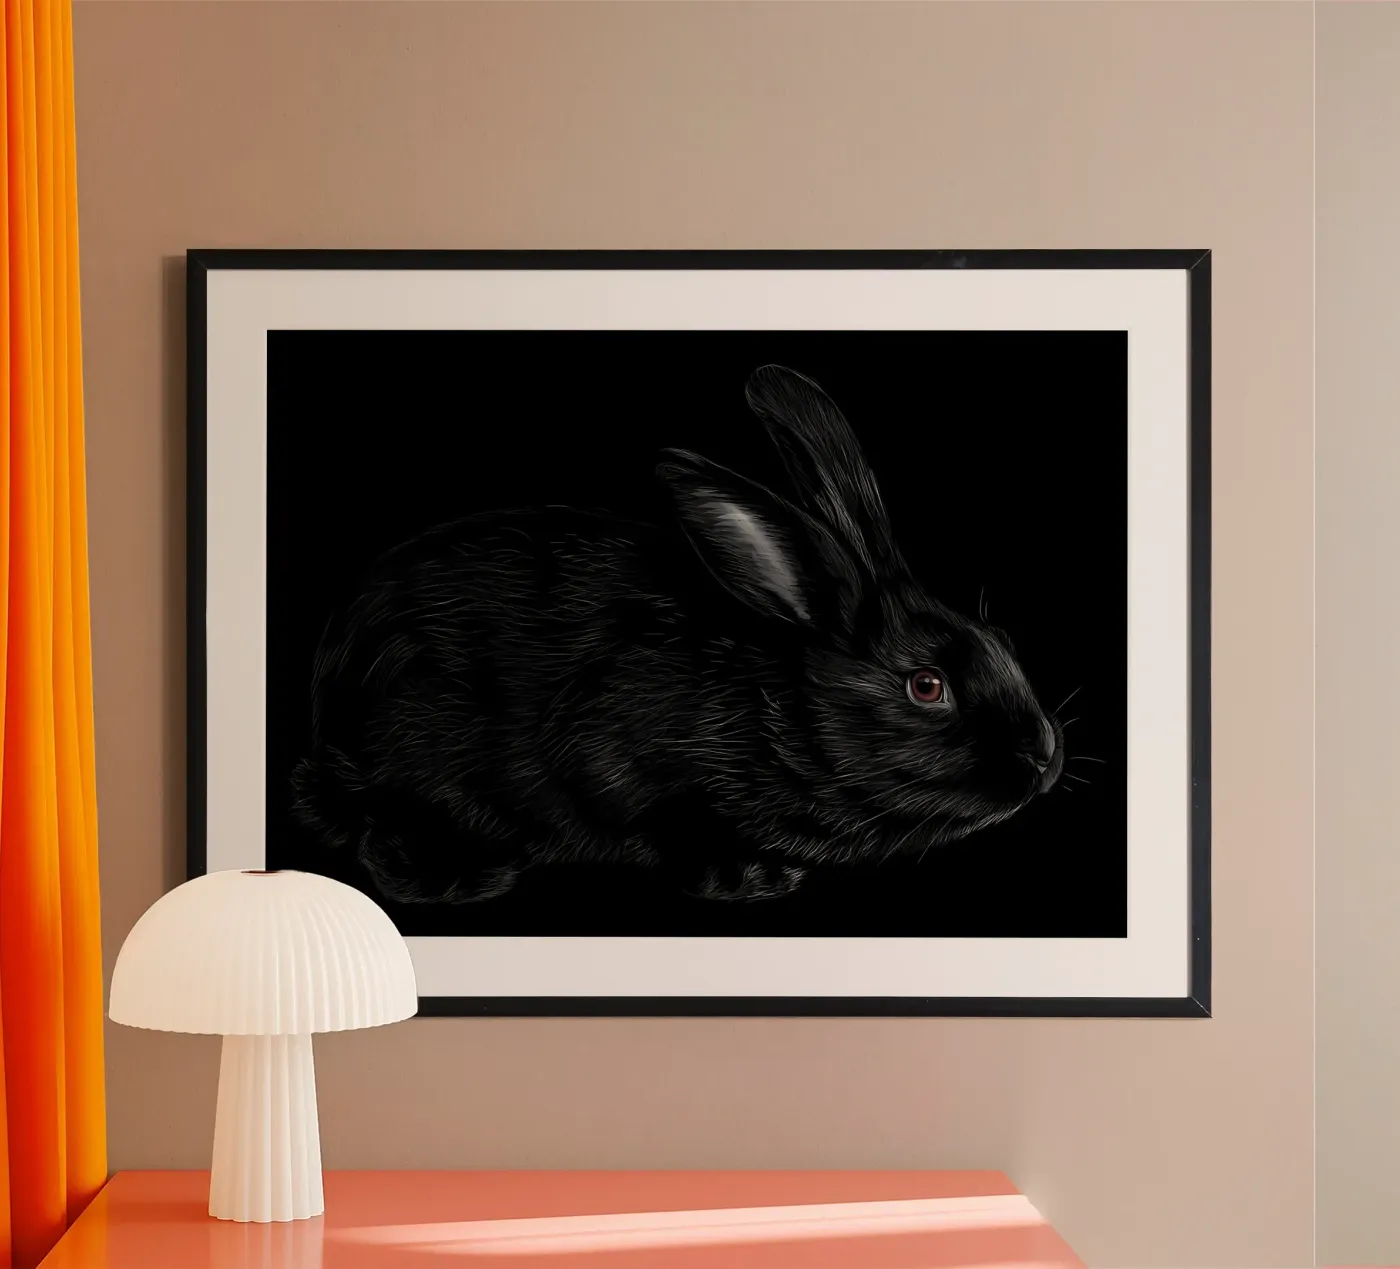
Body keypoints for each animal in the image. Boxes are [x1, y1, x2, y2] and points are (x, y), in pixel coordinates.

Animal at [289, 364, 1064, 905]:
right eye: (926, 686)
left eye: (1002, 639)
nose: (1042, 760)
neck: (778, 704)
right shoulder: (616, 756)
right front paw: (754, 877)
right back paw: (456, 878)